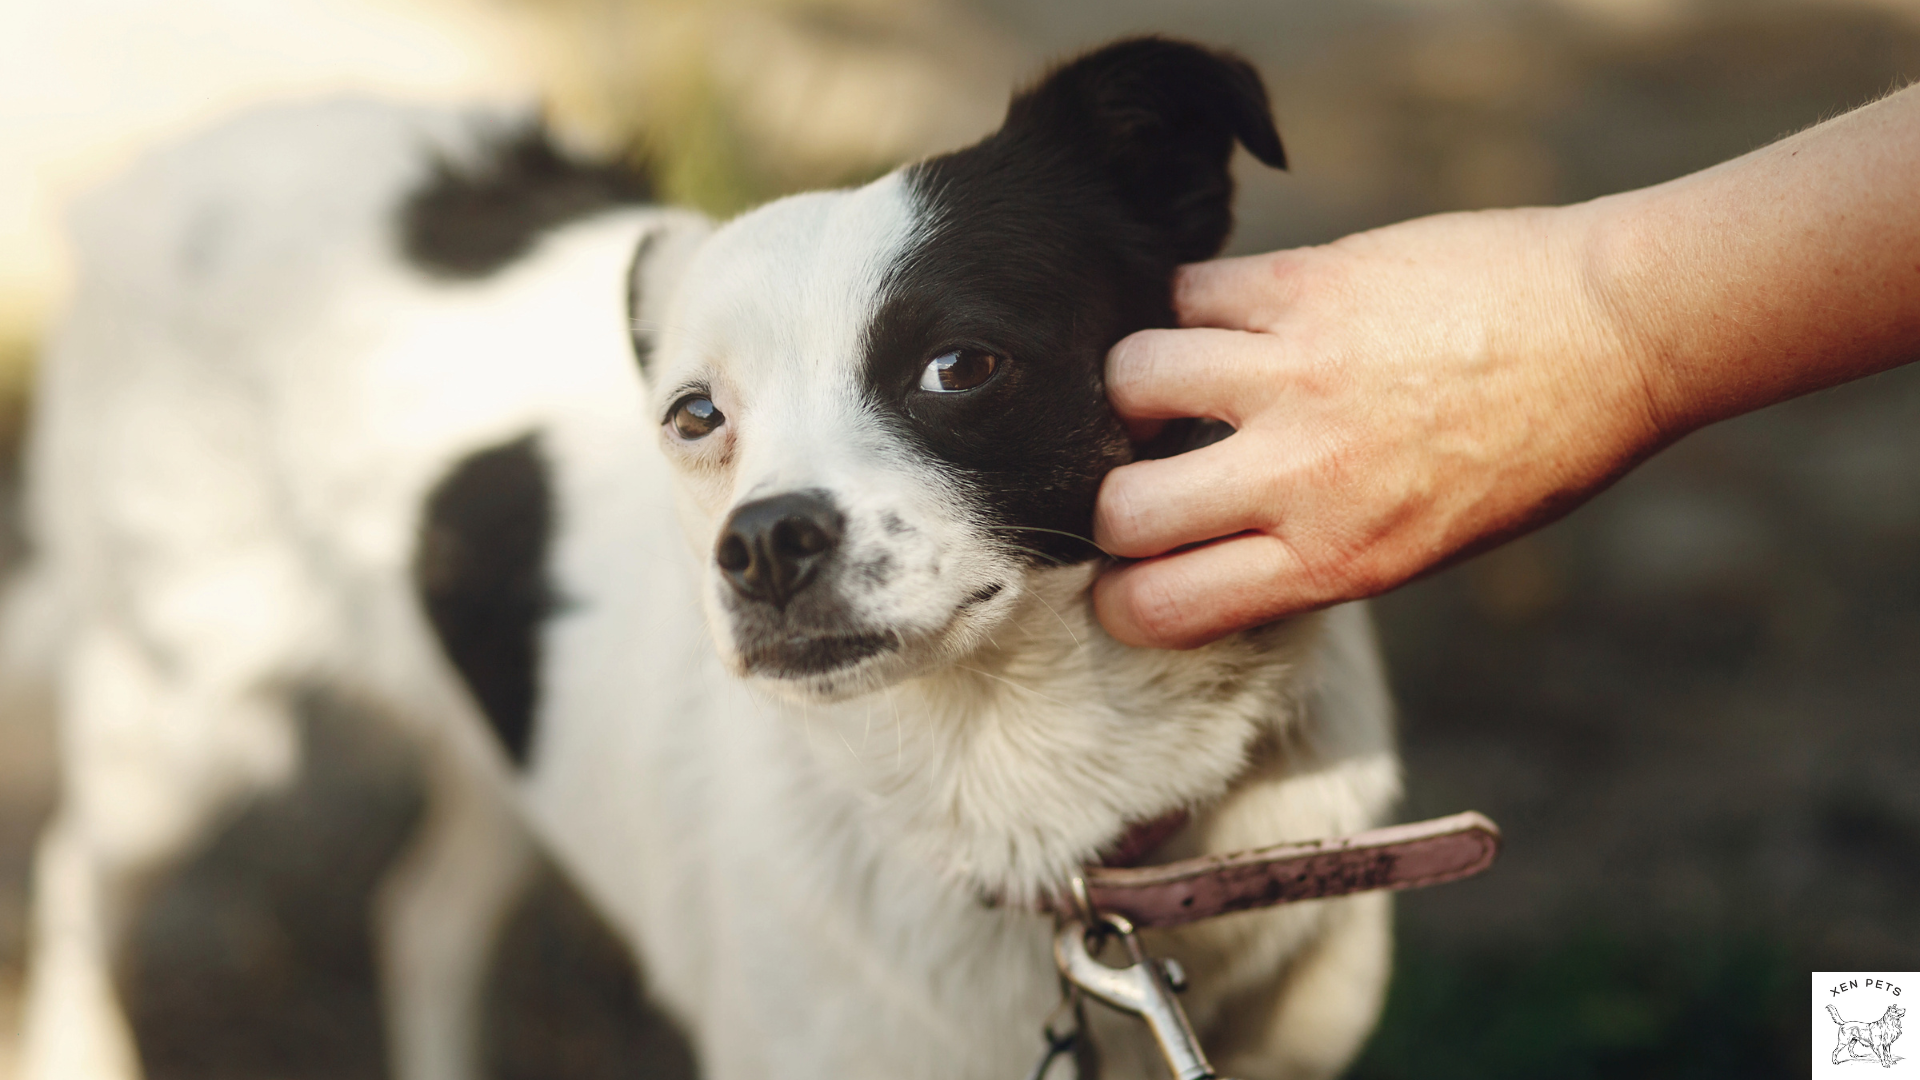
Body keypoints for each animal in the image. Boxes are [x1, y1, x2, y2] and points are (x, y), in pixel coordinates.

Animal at [7, 37, 1405, 1068]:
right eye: (694, 414)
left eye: (961, 364)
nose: (764, 548)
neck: (1030, 813)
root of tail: (164, 159)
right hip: (175, 718)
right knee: (72, 884)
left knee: (422, 918)